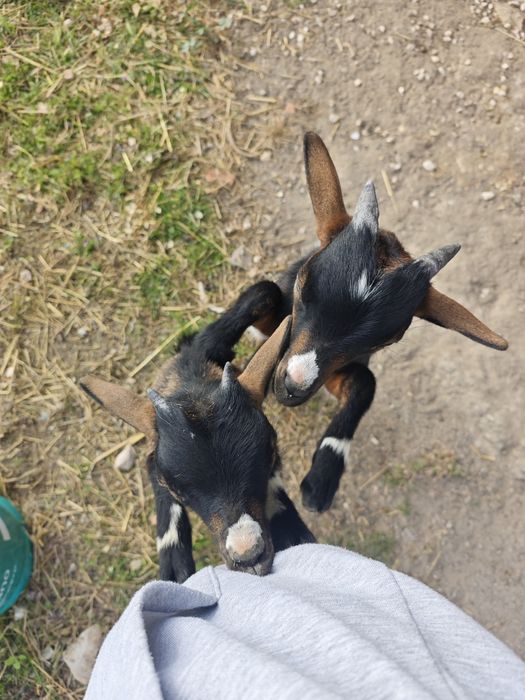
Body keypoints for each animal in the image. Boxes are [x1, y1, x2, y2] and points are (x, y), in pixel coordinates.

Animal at [253, 132, 508, 514]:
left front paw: (322, 478)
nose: (292, 388)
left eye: (386, 339)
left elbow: (365, 384)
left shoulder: (333, 371)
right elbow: (263, 297)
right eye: (303, 286)